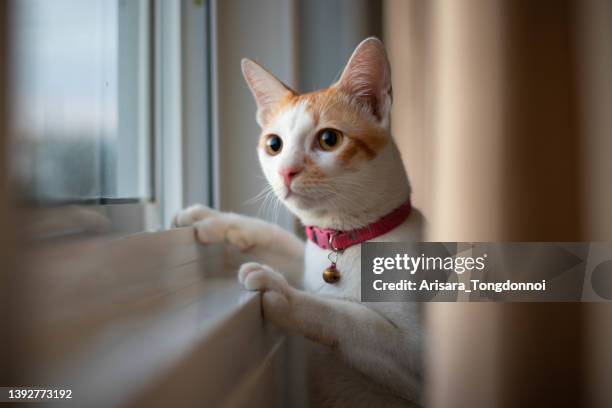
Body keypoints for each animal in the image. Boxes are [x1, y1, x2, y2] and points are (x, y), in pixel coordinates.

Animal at [172, 37, 420, 404]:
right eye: (274, 144)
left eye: (329, 139)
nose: (286, 171)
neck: (346, 240)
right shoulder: (307, 257)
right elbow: (278, 239)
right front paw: (215, 219)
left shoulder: (416, 355)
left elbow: (350, 317)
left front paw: (283, 292)